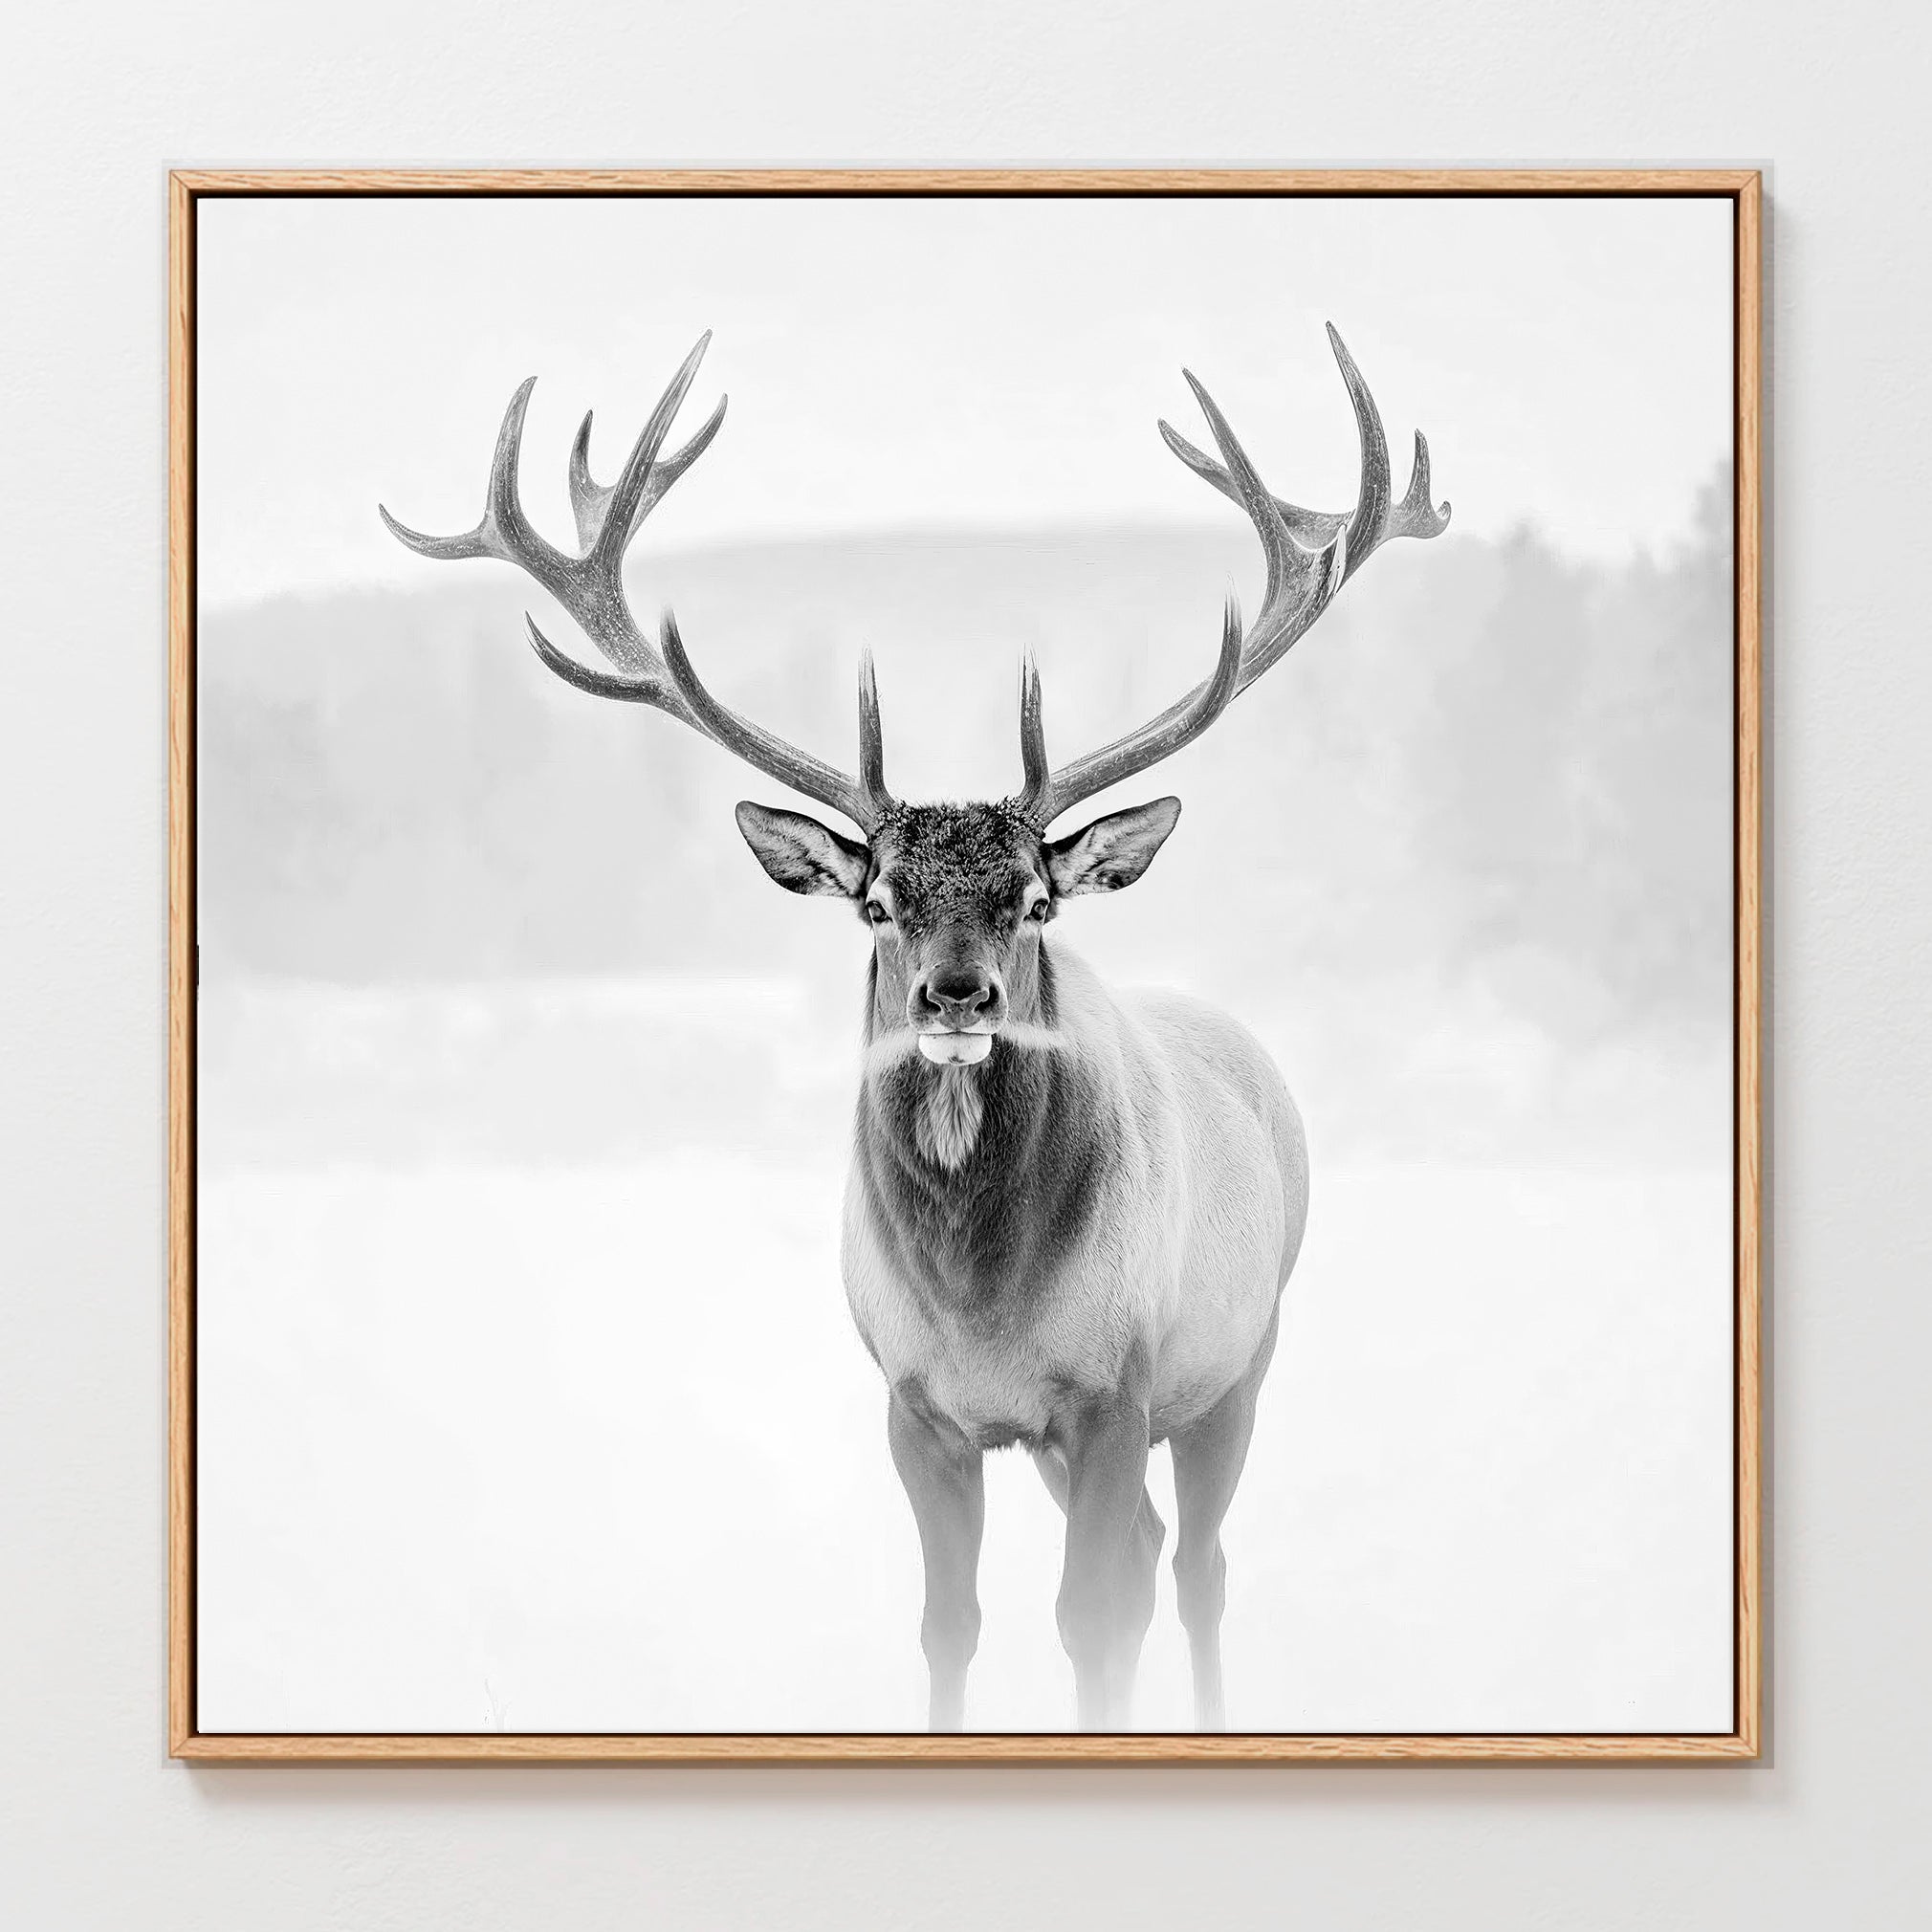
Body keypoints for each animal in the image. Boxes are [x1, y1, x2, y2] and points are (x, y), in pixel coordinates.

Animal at [381, 327, 1448, 1731]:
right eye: (878, 900)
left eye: (1035, 899)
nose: (956, 996)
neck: (979, 1301)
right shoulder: (914, 1405)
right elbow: (952, 1625)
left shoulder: (1114, 1387)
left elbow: (1091, 1622)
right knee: (1160, 1550)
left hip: (1239, 1355)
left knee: (1198, 1569)